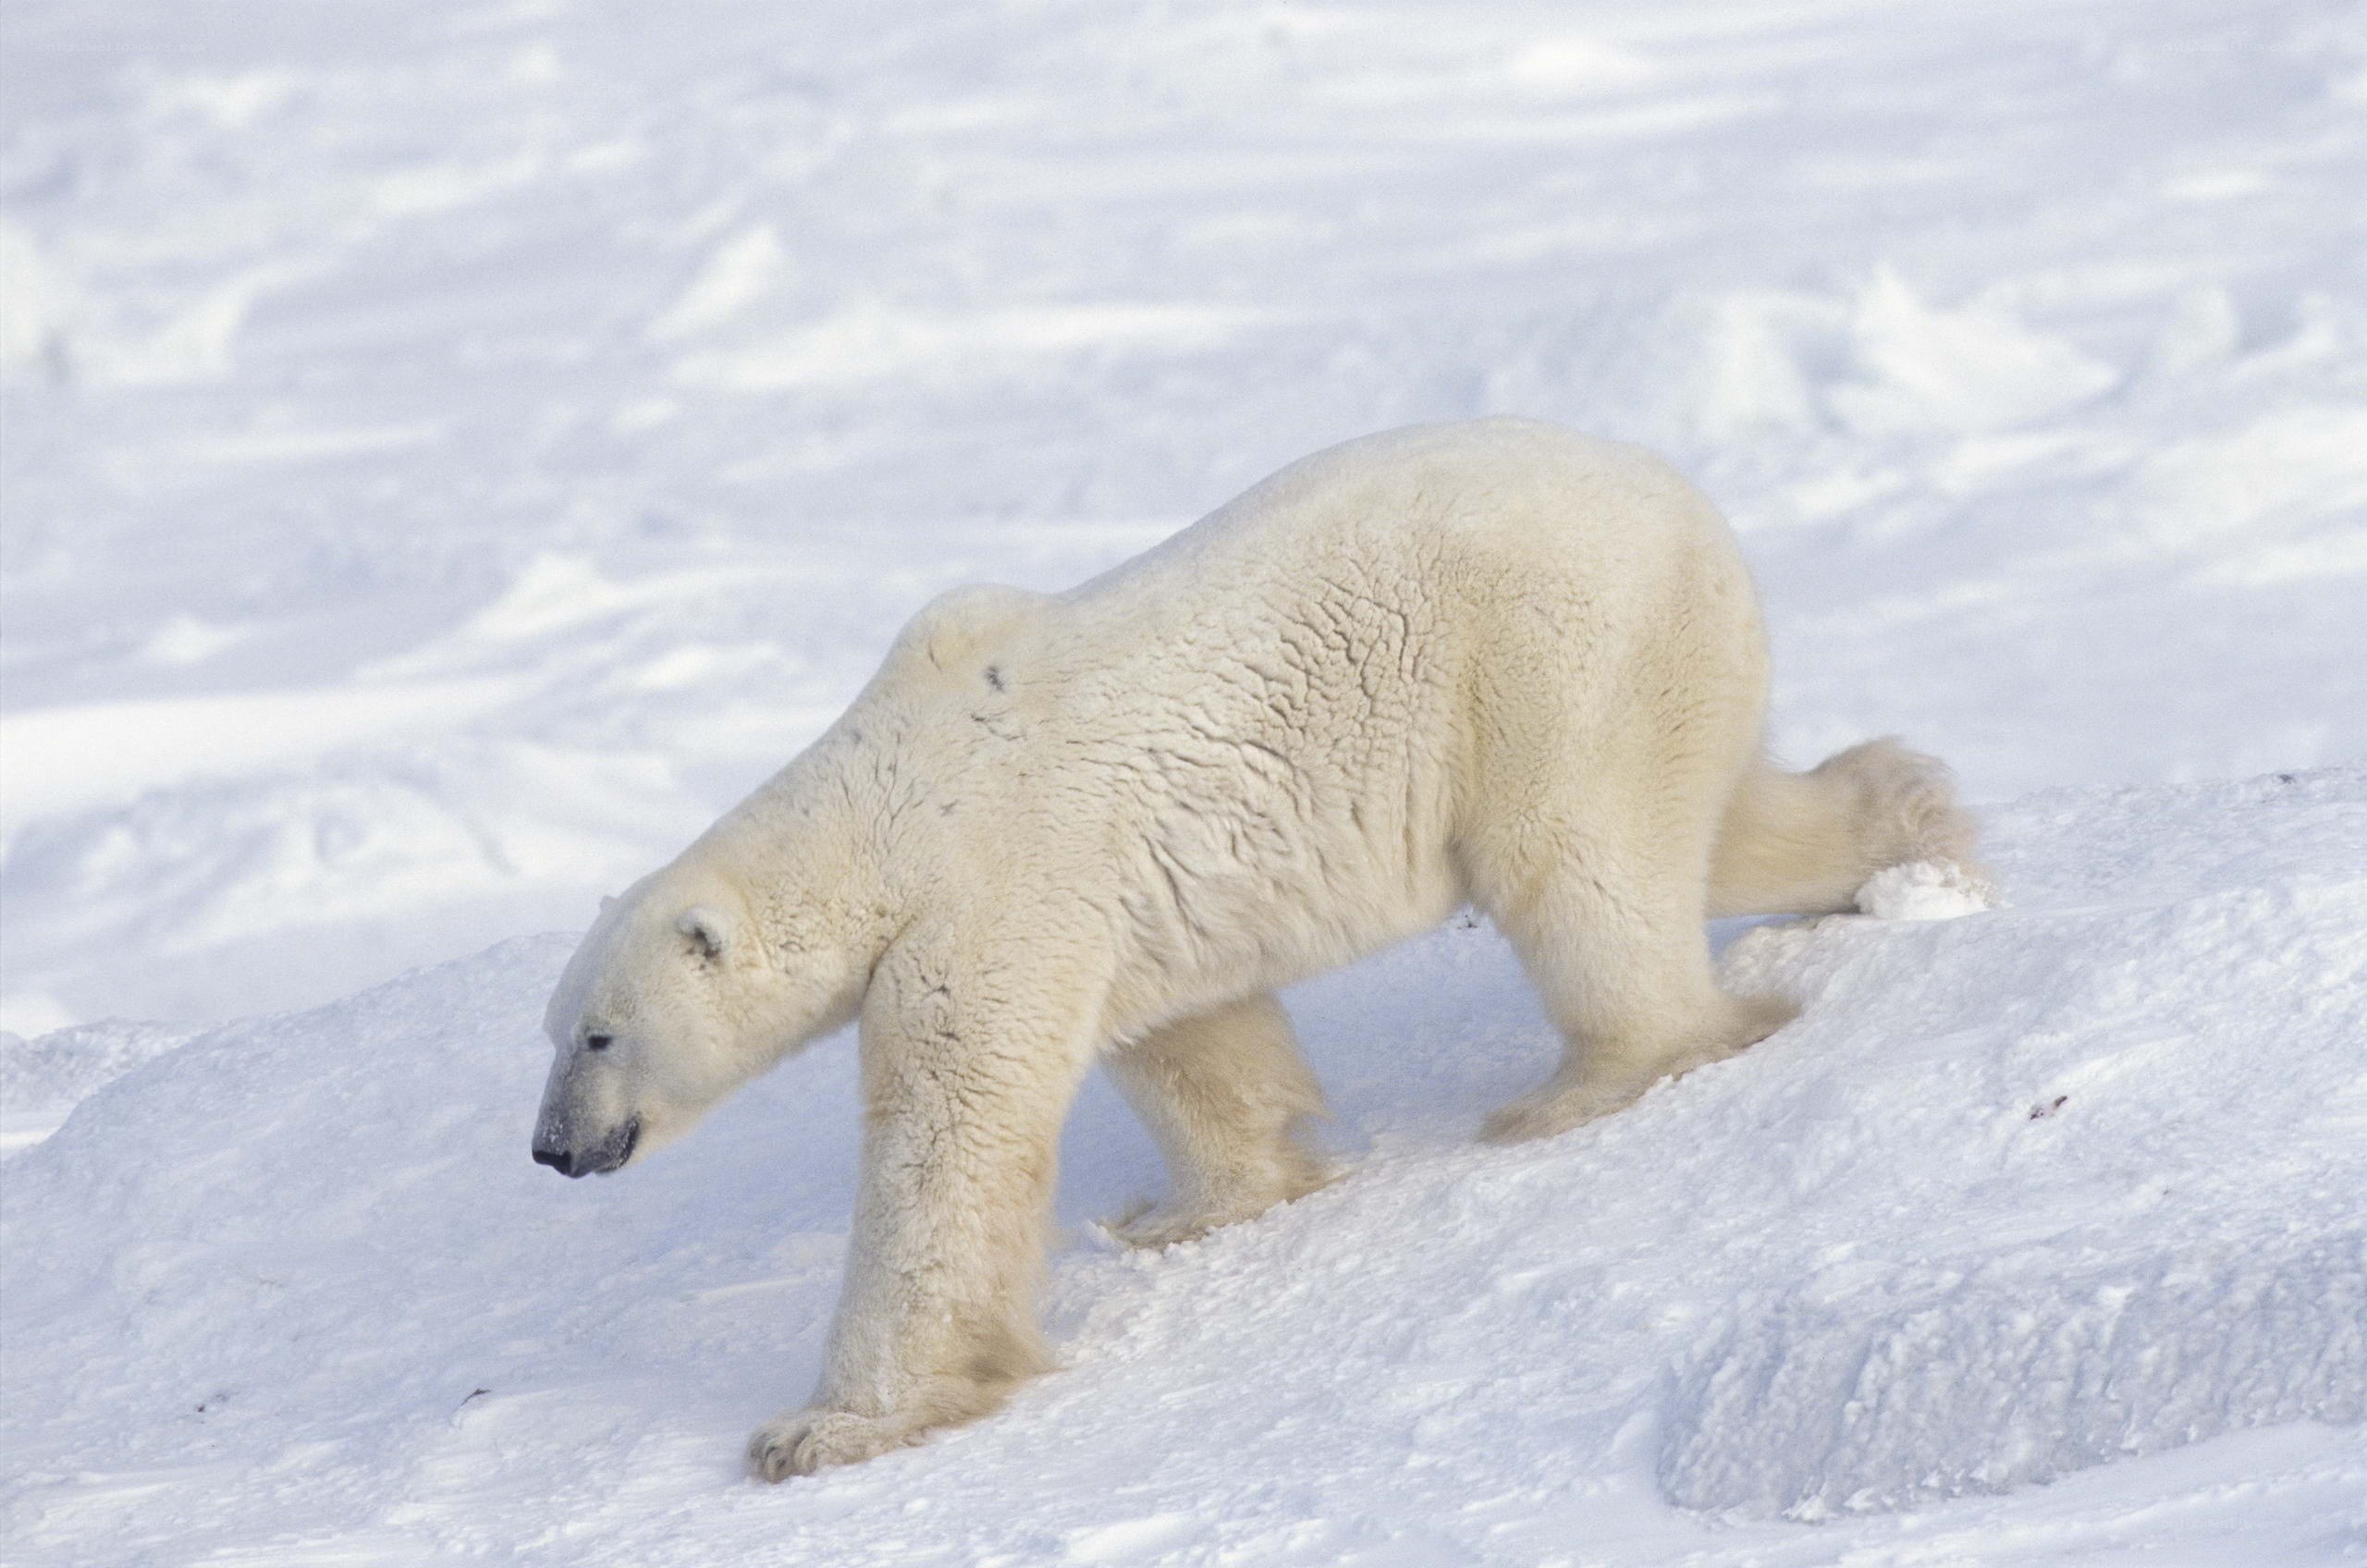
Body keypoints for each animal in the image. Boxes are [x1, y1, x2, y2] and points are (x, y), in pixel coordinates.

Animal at [530, 416, 1985, 1479]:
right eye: (551, 1035)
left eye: (601, 1033)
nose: (551, 1149)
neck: (888, 798)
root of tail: (1694, 510)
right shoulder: (1109, 901)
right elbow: (1190, 1040)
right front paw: (1199, 1207)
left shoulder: (996, 888)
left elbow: (946, 1146)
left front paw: (823, 1428)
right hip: (1659, 672)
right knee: (1716, 818)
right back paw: (1912, 833)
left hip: (1548, 663)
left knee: (1579, 863)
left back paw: (1584, 1086)